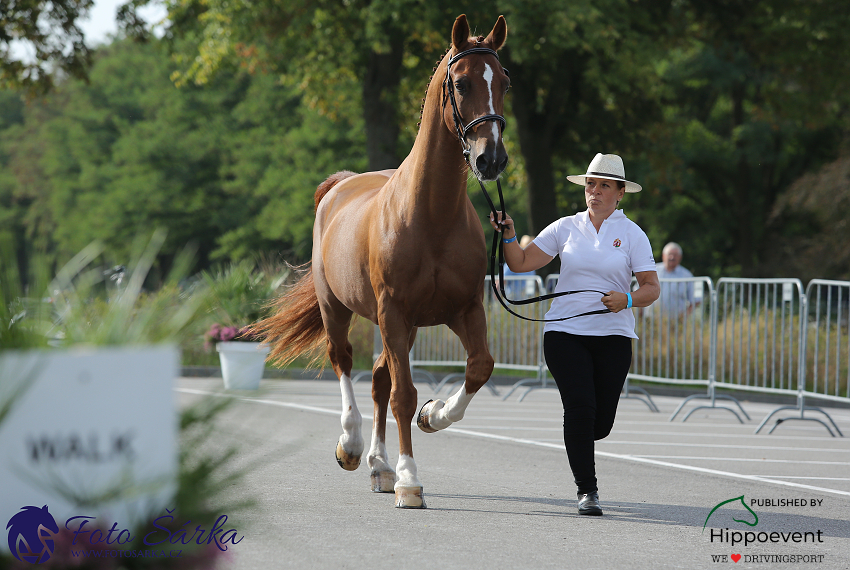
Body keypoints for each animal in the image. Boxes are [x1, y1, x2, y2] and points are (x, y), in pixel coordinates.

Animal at [258, 15, 506, 508]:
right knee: (343, 362)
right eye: (463, 83)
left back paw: (380, 466)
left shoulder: (461, 309)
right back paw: (352, 447)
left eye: (505, 82)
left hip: (402, 327)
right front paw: (411, 481)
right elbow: (404, 395)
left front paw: (434, 414)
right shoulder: (393, 310)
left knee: (377, 380)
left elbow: (478, 368)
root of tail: (340, 184)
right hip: (338, 309)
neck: (431, 214)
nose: (491, 158)